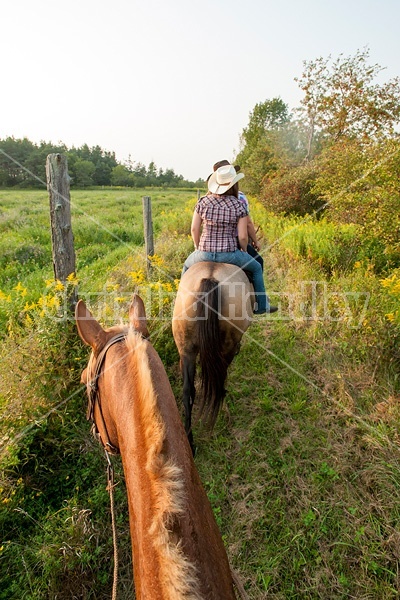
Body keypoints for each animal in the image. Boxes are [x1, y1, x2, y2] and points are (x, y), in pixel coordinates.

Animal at [171, 260, 253, 452]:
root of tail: (211, 277)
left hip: (186, 348)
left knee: (188, 391)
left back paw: (190, 441)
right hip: (228, 345)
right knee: (220, 377)